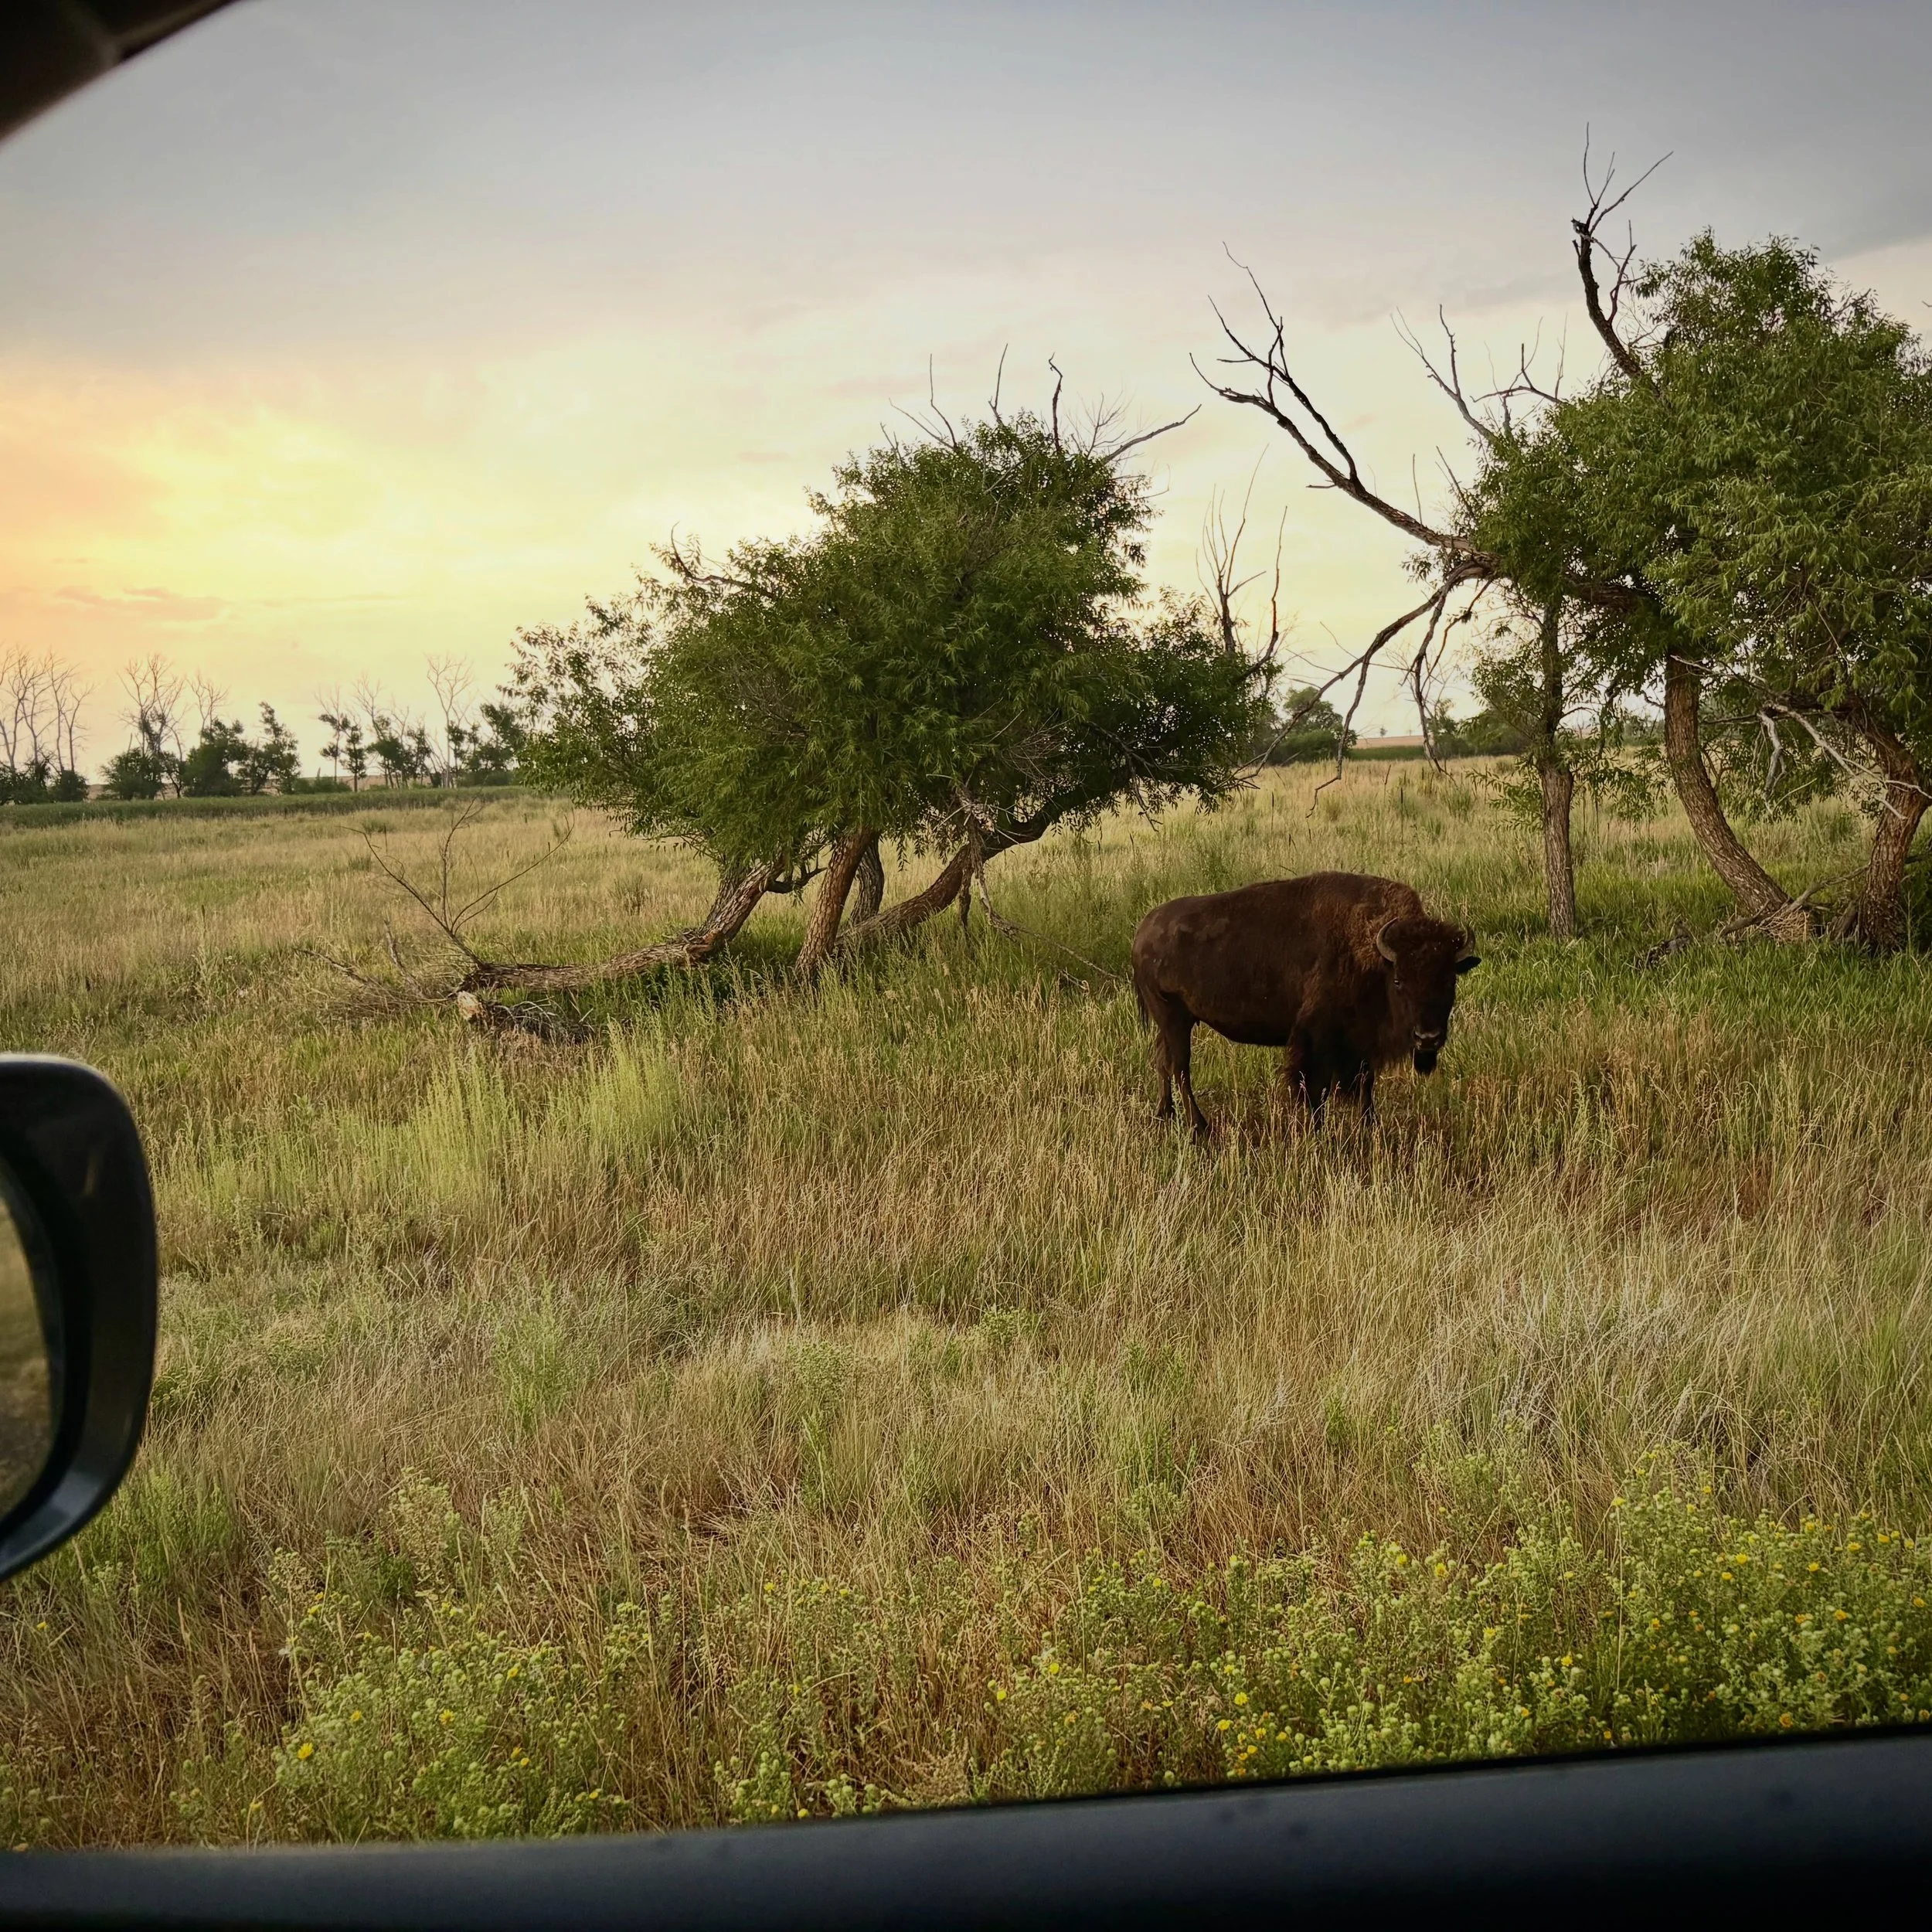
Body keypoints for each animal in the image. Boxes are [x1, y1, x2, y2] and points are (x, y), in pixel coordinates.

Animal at [1129, 871, 1479, 1135]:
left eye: (1450, 980)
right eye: (1399, 981)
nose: (1427, 1038)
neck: (1374, 957)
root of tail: (1143, 930)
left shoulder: (1361, 1044)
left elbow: (1366, 1084)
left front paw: (1370, 1126)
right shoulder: (1316, 1039)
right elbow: (1314, 1088)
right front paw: (1317, 1131)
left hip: (1173, 1022)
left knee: (1163, 1060)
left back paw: (1165, 1114)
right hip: (1174, 1018)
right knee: (1180, 1067)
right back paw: (1200, 1127)